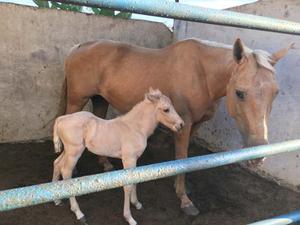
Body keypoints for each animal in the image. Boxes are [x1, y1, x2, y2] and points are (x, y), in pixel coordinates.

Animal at [50, 89, 184, 225]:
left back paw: (56, 199)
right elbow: (128, 186)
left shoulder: (134, 159)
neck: (135, 127)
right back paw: (78, 213)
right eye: (166, 109)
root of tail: (61, 119)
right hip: (74, 152)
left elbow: (135, 180)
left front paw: (136, 203)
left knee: (57, 163)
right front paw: (129, 217)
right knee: (66, 172)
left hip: (67, 151)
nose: (181, 124)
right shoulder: (128, 159)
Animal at [60, 37, 292, 215]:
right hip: (77, 100)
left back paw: (105, 163)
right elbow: (182, 157)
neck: (203, 75)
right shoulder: (185, 123)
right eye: (239, 93)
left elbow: (185, 158)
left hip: (100, 99)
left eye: (276, 93)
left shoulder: (194, 124)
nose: (258, 155)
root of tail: (78, 47)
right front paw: (185, 200)